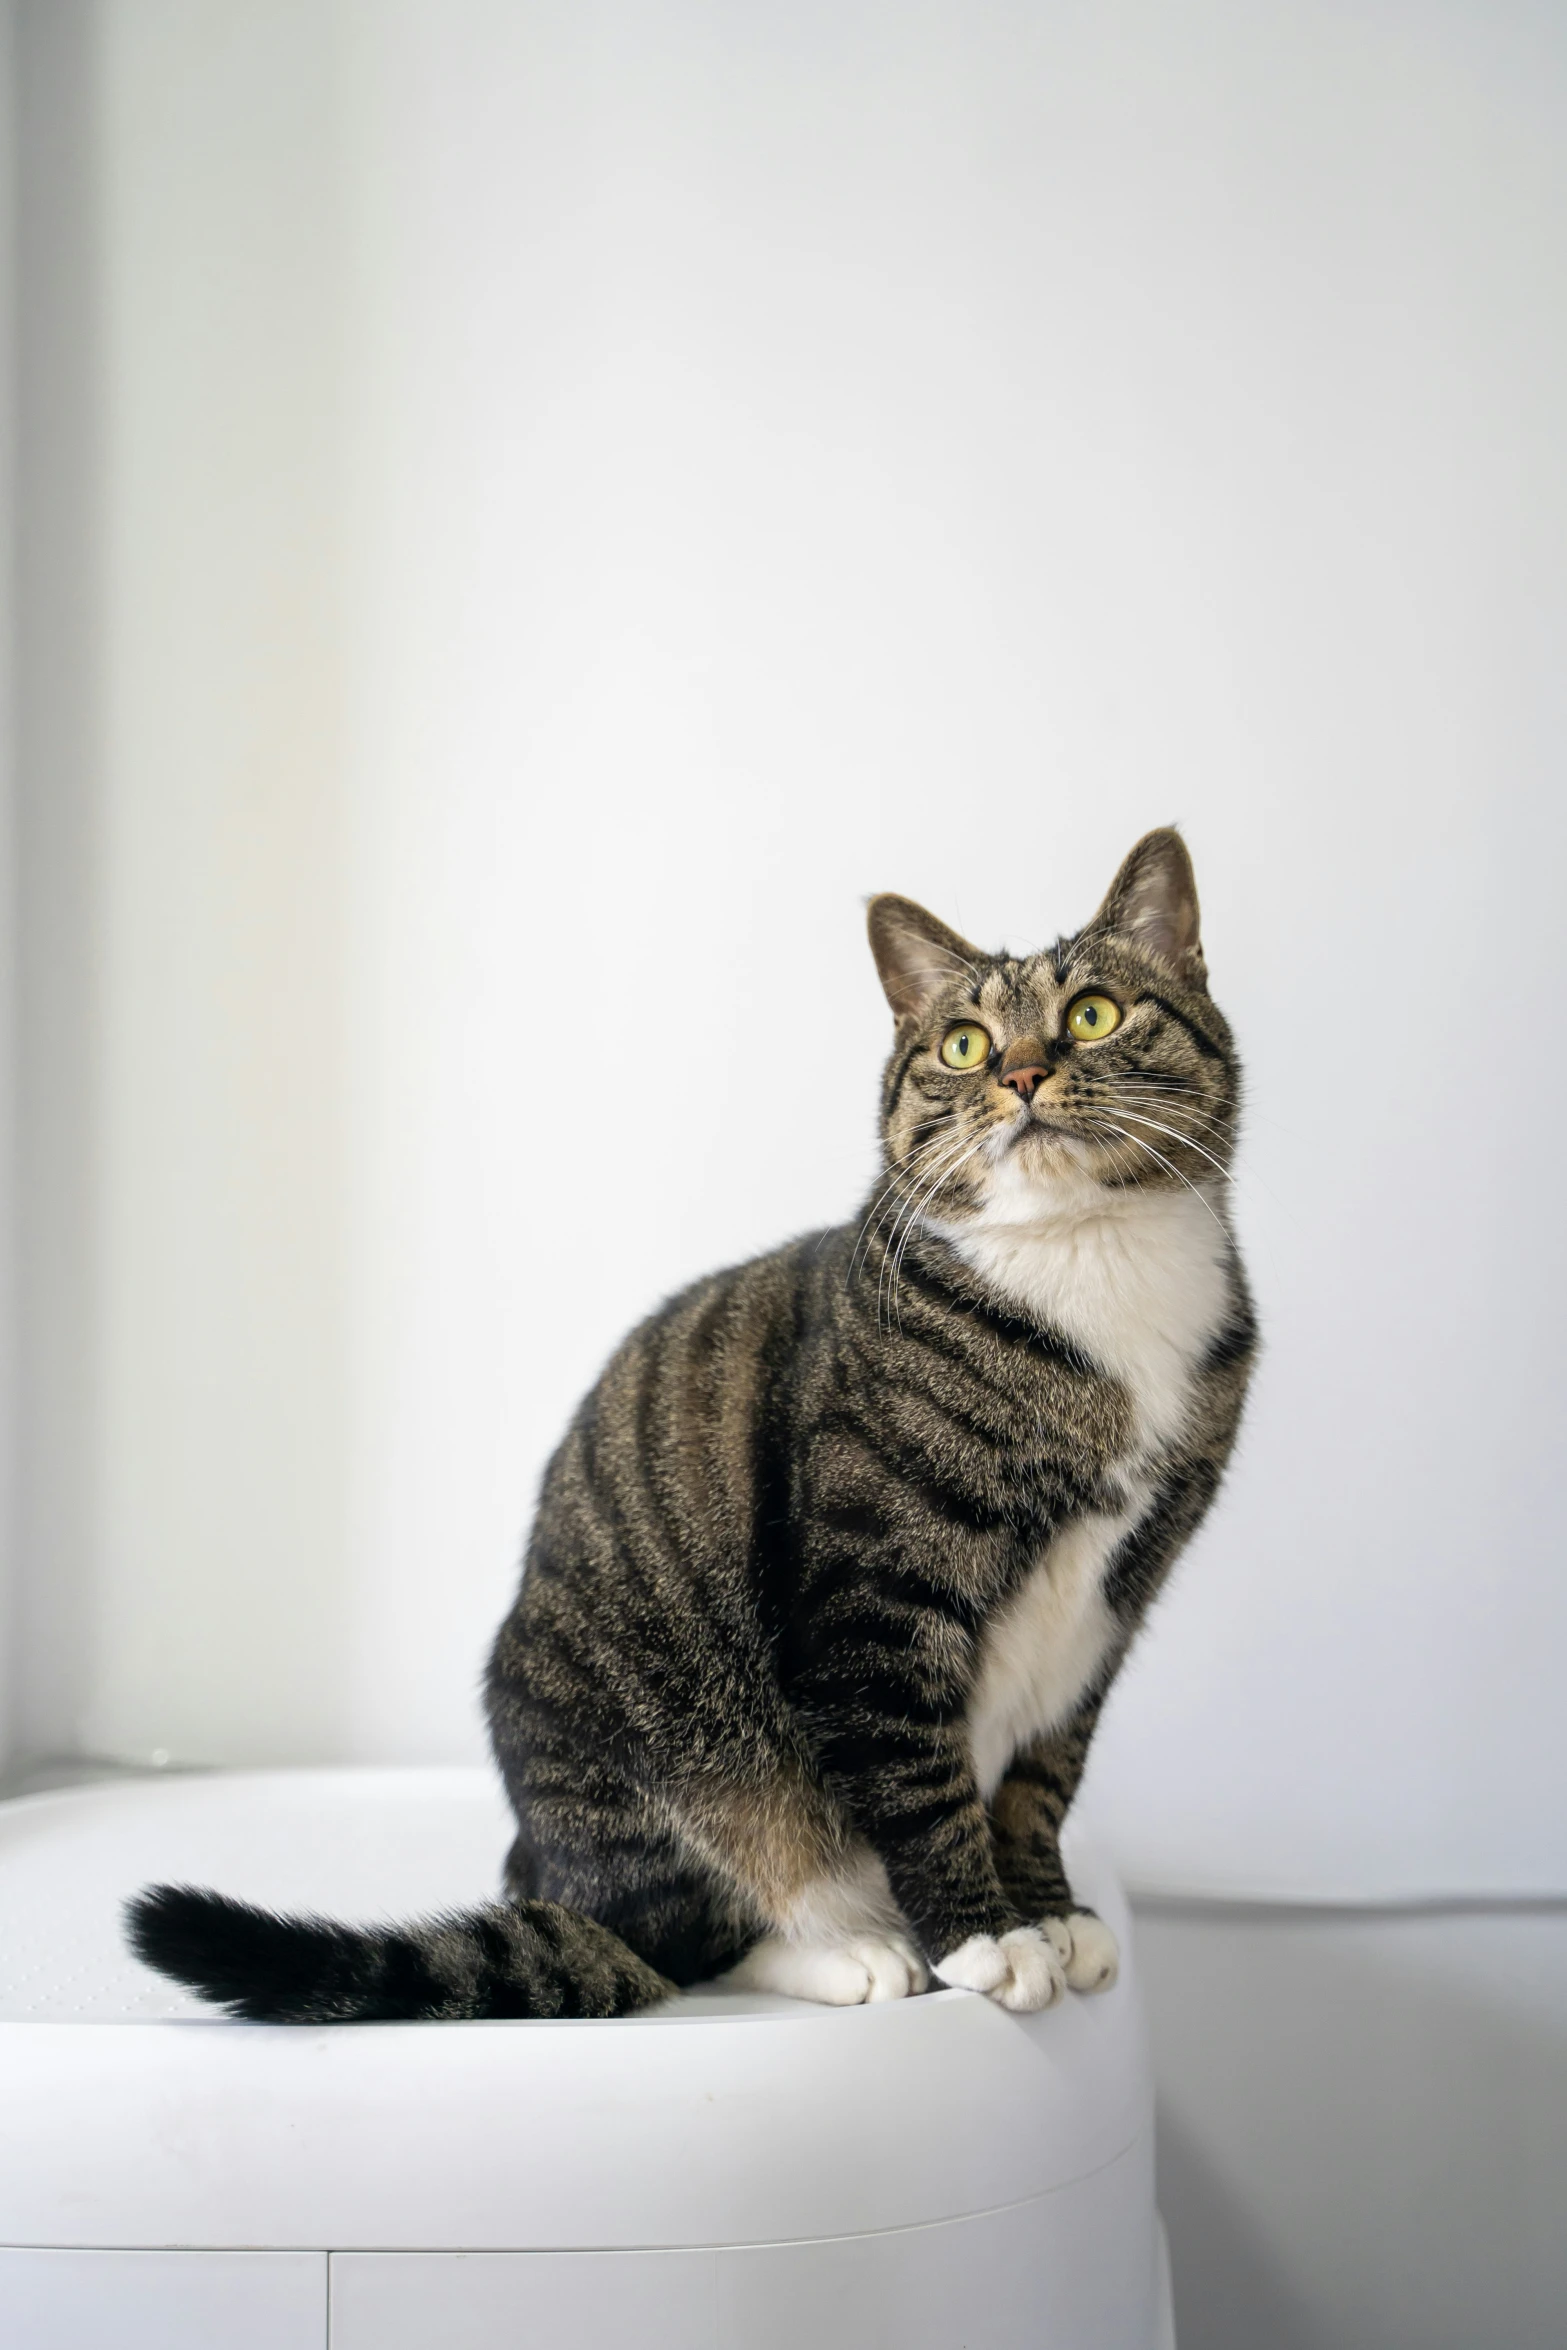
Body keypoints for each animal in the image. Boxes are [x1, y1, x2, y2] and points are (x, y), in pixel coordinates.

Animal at [128, 827, 1259, 2020]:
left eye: (1091, 1012)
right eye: (963, 1043)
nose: (1022, 1072)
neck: (1089, 1266)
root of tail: (544, 1868)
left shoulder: (1109, 1609)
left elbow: (1043, 1777)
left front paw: (1049, 1909)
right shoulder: (874, 1596)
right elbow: (918, 1776)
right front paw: (984, 1936)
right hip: (663, 1749)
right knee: (675, 1938)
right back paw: (853, 1950)